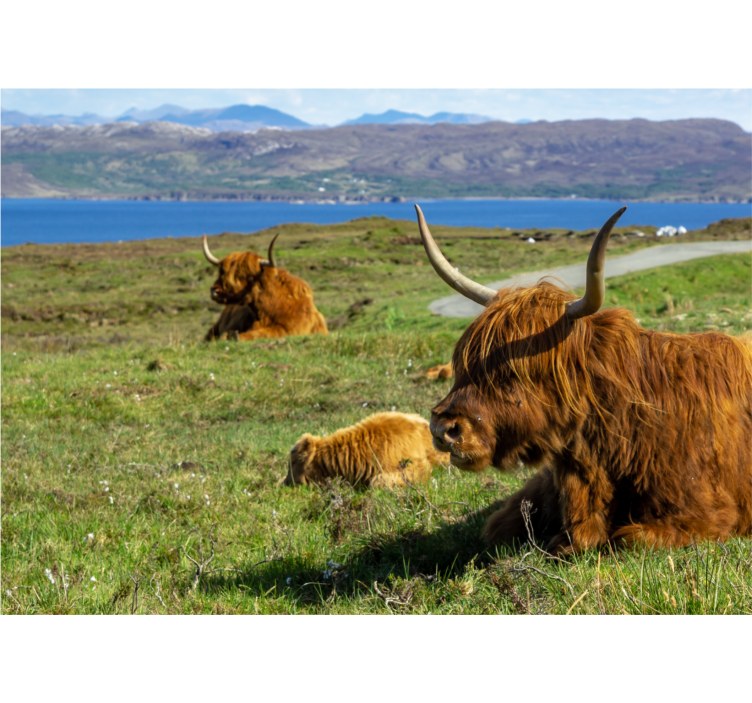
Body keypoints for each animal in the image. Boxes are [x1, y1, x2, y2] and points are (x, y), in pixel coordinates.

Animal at [415, 204, 752, 554]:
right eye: (463, 362)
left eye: (517, 370)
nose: (443, 428)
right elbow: (498, 525)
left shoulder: (707, 514)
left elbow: (628, 538)